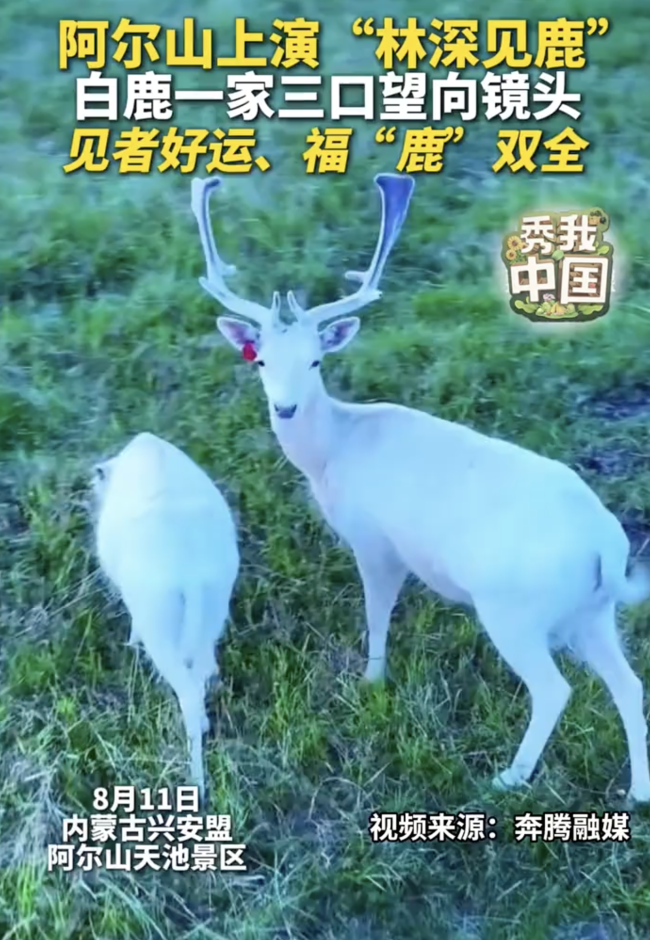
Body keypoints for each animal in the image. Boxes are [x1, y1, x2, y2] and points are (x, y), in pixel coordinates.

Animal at [92, 431, 239, 801]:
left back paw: (196, 781)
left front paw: (130, 641)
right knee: (203, 671)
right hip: (213, 610)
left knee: (188, 691)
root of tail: (189, 570)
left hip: (160, 628)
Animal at [189, 172, 650, 803]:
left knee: (555, 688)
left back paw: (508, 777)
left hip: (514, 609)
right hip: (592, 612)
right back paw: (638, 792)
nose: (284, 408)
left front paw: (371, 680)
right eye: (260, 361)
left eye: (314, 362)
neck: (334, 451)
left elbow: (378, 611)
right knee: (630, 685)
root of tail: (607, 546)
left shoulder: (375, 541)